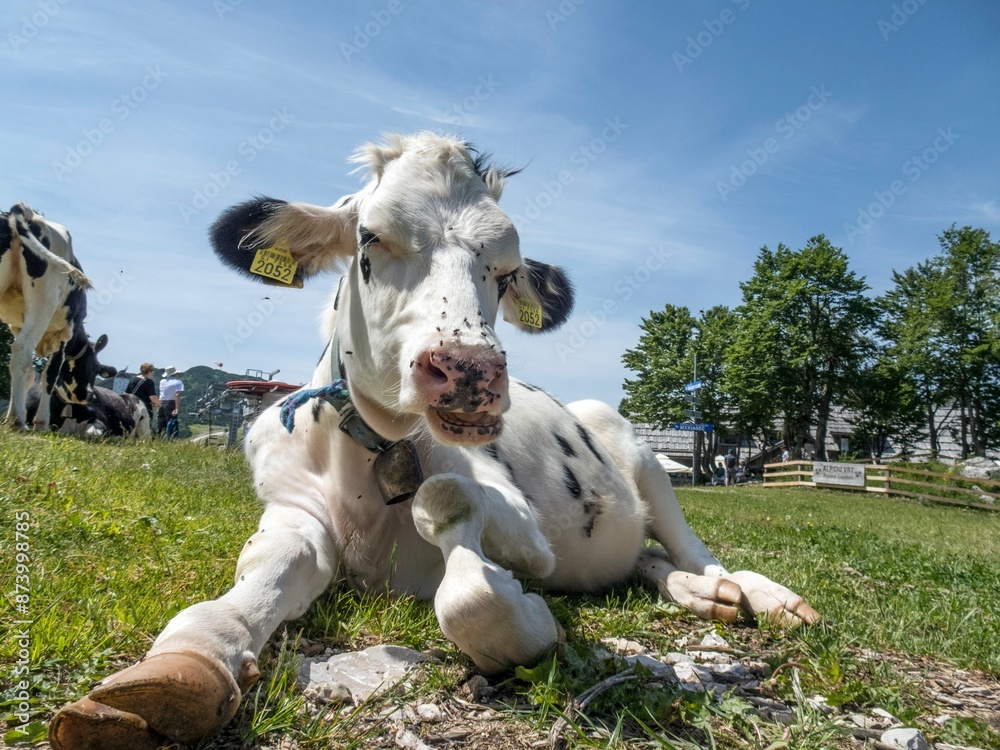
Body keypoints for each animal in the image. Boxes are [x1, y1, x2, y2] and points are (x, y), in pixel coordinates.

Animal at [0, 204, 94, 428]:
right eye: (93, 367)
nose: (87, 395)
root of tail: (25, 212)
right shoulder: (65, 333)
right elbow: (49, 374)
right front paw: (41, 421)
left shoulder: (17, 326)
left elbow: (29, 375)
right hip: (43, 302)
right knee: (22, 351)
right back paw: (17, 419)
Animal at [48, 134, 820, 750]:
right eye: (370, 239)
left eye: (505, 271)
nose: (470, 370)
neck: (371, 457)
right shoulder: (292, 507)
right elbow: (265, 572)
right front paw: (187, 661)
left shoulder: (526, 529)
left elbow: (461, 543)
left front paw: (529, 618)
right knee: (643, 561)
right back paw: (703, 595)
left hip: (633, 447)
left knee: (687, 543)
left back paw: (752, 592)